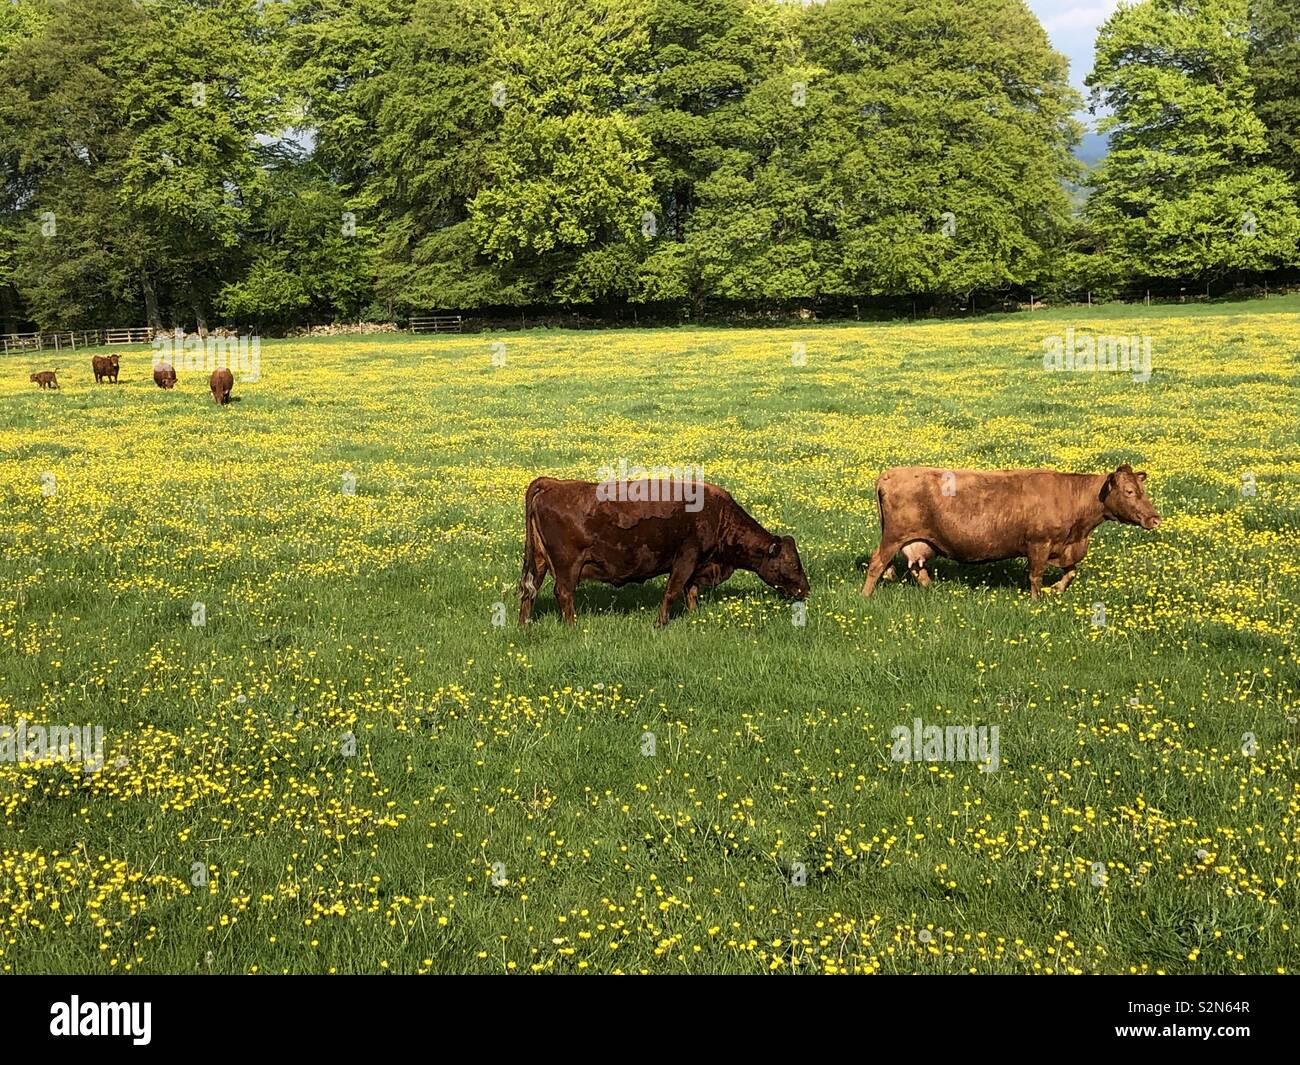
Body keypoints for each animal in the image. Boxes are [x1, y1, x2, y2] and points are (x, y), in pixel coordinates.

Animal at [514, 475, 800, 624]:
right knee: (563, 594)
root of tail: (552, 483)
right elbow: (672, 591)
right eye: (791, 564)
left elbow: (690, 591)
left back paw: (524, 625)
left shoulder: (695, 565)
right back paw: (572, 626)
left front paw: (694, 617)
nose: (805, 590)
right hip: (567, 567)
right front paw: (660, 622)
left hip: (539, 562)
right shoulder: (686, 558)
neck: (716, 513)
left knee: (529, 593)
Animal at [863, 465, 1159, 600]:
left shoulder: (1064, 547)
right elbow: (1035, 575)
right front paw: (1037, 599)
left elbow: (1071, 571)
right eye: (1129, 491)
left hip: (919, 541)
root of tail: (890, 474)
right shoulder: (1039, 544)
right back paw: (865, 595)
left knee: (917, 567)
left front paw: (1056, 589)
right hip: (893, 536)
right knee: (877, 562)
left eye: (1143, 490)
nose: (1155, 518)